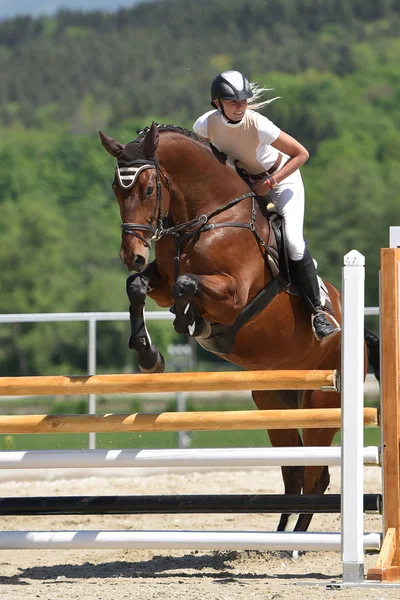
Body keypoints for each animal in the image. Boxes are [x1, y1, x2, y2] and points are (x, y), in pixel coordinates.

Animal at [99, 122, 378, 536]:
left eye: (148, 189)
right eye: (116, 189)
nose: (131, 254)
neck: (204, 219)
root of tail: (359, 338)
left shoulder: (233, 294)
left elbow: (186, 286)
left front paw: (191, 321)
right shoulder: (161, 280)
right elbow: (138, 286)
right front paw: (149, 354)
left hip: (321, 405)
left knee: (316, 476)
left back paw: (296, 544)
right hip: (274, 402)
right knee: (295, 473)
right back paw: (281, 536)